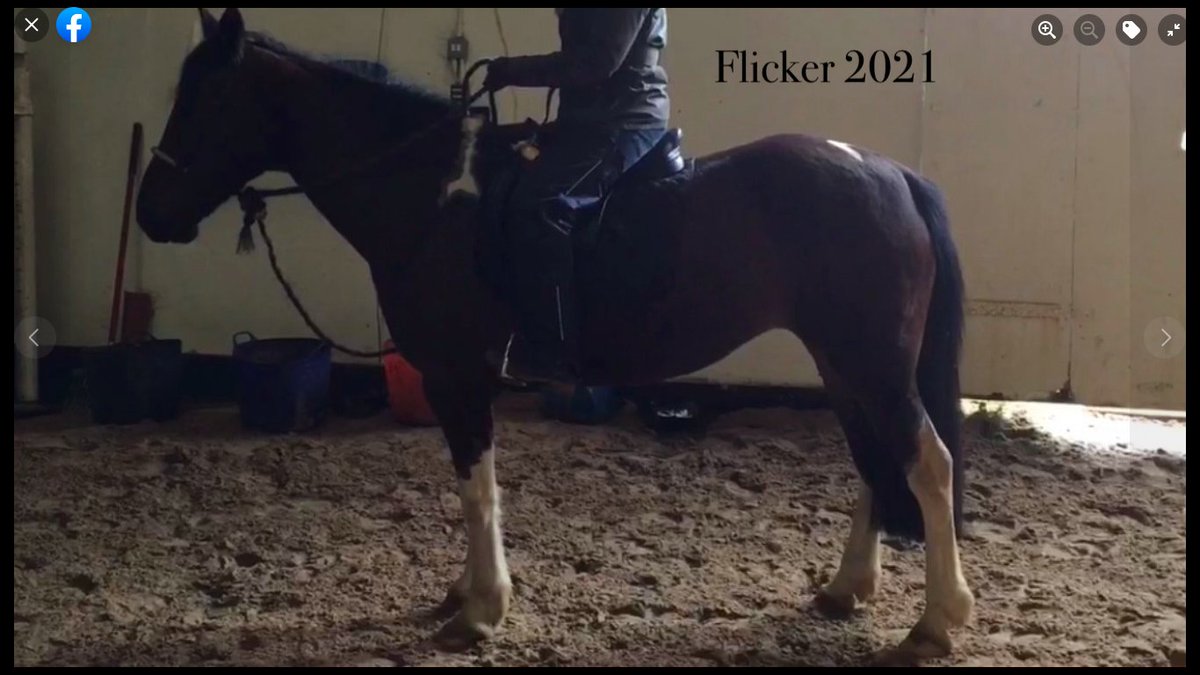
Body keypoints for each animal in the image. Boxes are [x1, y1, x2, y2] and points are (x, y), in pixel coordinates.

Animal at [136, 8, 973, 663]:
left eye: (208, 100)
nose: (149, 212)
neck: (432, 196)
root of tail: (890, 174)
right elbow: (473, 486)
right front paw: (465, 593)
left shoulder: (457, 374)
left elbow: (476, 486)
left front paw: (480, 608)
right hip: (844, 362)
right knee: (872, 459)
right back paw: (846, 588)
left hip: (872, 362)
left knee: (927, 462)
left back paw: (936, 621)